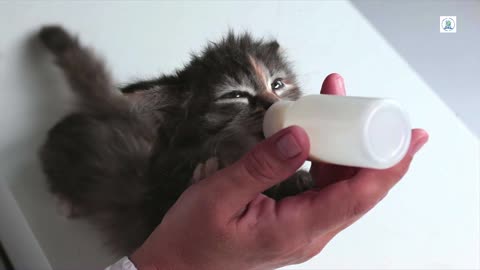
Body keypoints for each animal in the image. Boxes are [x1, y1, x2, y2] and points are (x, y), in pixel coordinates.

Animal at [39, 25, 314, 255]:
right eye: (236, 95)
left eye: (277, 84)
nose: (276, 104)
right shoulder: (153, 217)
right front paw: (204, 175)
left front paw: (299, 182)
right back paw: (65, 200)